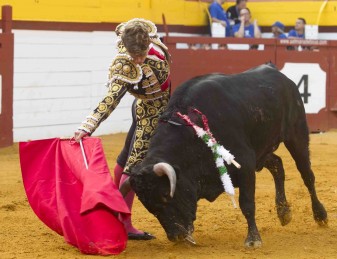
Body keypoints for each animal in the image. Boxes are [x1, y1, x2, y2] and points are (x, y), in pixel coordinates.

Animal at [123, 64, 326, 249]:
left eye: (166, 195)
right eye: (149, 206)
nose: (176, 236)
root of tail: (278, 73)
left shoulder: (245, 163)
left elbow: (247, 204)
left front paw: (253, 239)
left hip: (296, 135)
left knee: (307, 175)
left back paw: (320, 215)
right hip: (261, 151)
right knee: (278, 164)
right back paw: (284, 212)